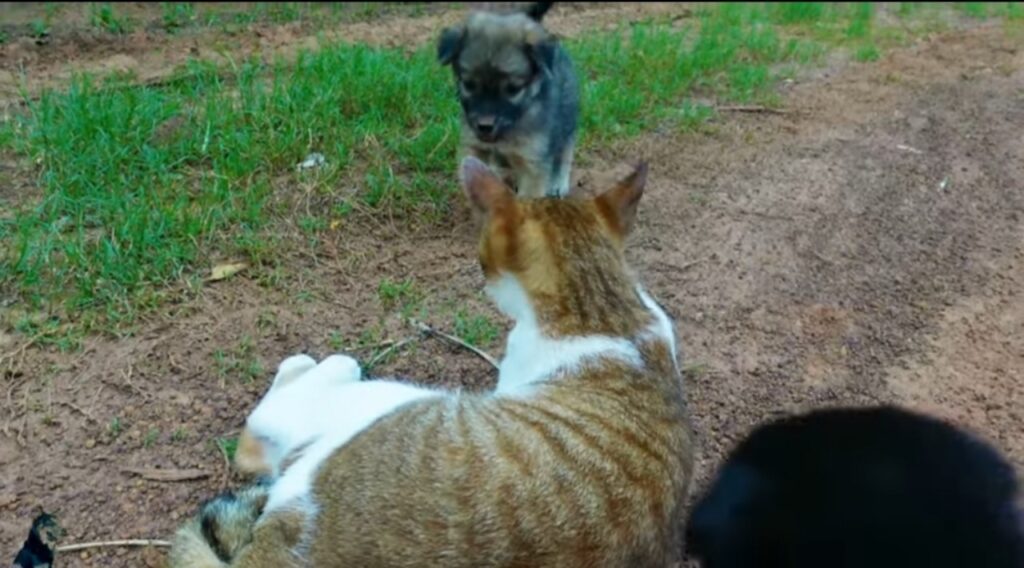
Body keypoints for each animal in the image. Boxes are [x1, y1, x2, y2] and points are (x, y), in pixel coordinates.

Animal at [436, 1, 581, 199]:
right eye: (468, 84)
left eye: (513, 89)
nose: (484, 126)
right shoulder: (475, 147)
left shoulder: (532, 163)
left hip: (567, 116)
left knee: (566, 147)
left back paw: (558, 182)